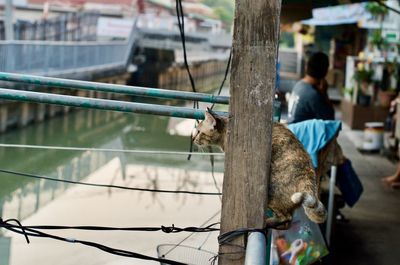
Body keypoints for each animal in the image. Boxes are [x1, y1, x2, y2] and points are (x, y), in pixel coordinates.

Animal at [192, 108, 326, 228]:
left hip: (271, 192)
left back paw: (267, 222)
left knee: (286, 218)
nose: (192, 138)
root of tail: (308, 178)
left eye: (198, 132)